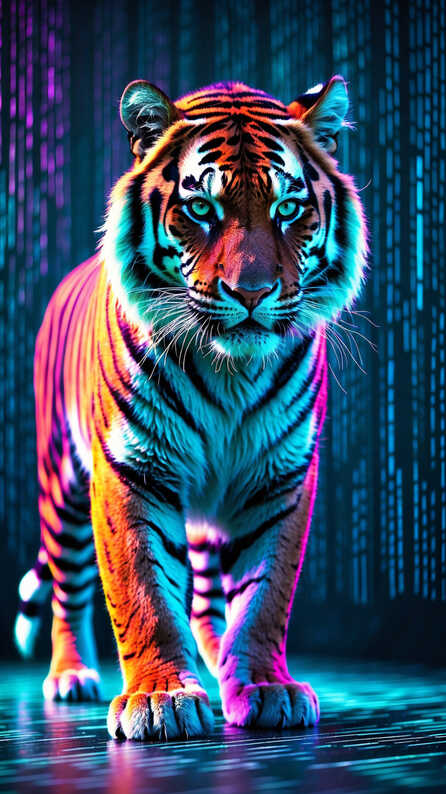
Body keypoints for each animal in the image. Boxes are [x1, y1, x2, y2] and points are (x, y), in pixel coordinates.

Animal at [14, 75, 367, 740]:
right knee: (69, 588)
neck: (231, 373)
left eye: (288, 209)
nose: (252, 293)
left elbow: (264, 596)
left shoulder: (280, 476)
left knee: (204, 595)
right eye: (202, 209)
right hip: (59, 482)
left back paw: (217, 658)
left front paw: (264, 686)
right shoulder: (133, 469)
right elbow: (144, 593)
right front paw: (161, 699)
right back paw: (72, 676)